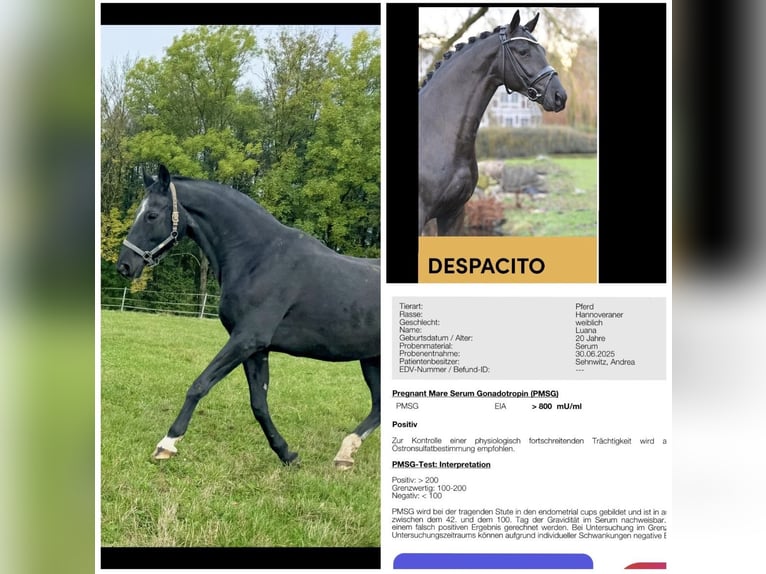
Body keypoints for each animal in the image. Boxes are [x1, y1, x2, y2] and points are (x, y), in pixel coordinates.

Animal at [116, 165, 380, 470]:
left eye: (151, 215)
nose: (124, 265)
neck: (259, 258)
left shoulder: (247, 340)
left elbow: (199, 385)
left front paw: (167, 444)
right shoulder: (255, 350)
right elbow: (259, 404)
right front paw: (287, 454)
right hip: (371, 359)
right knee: (378, 406)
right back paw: (345, 454)